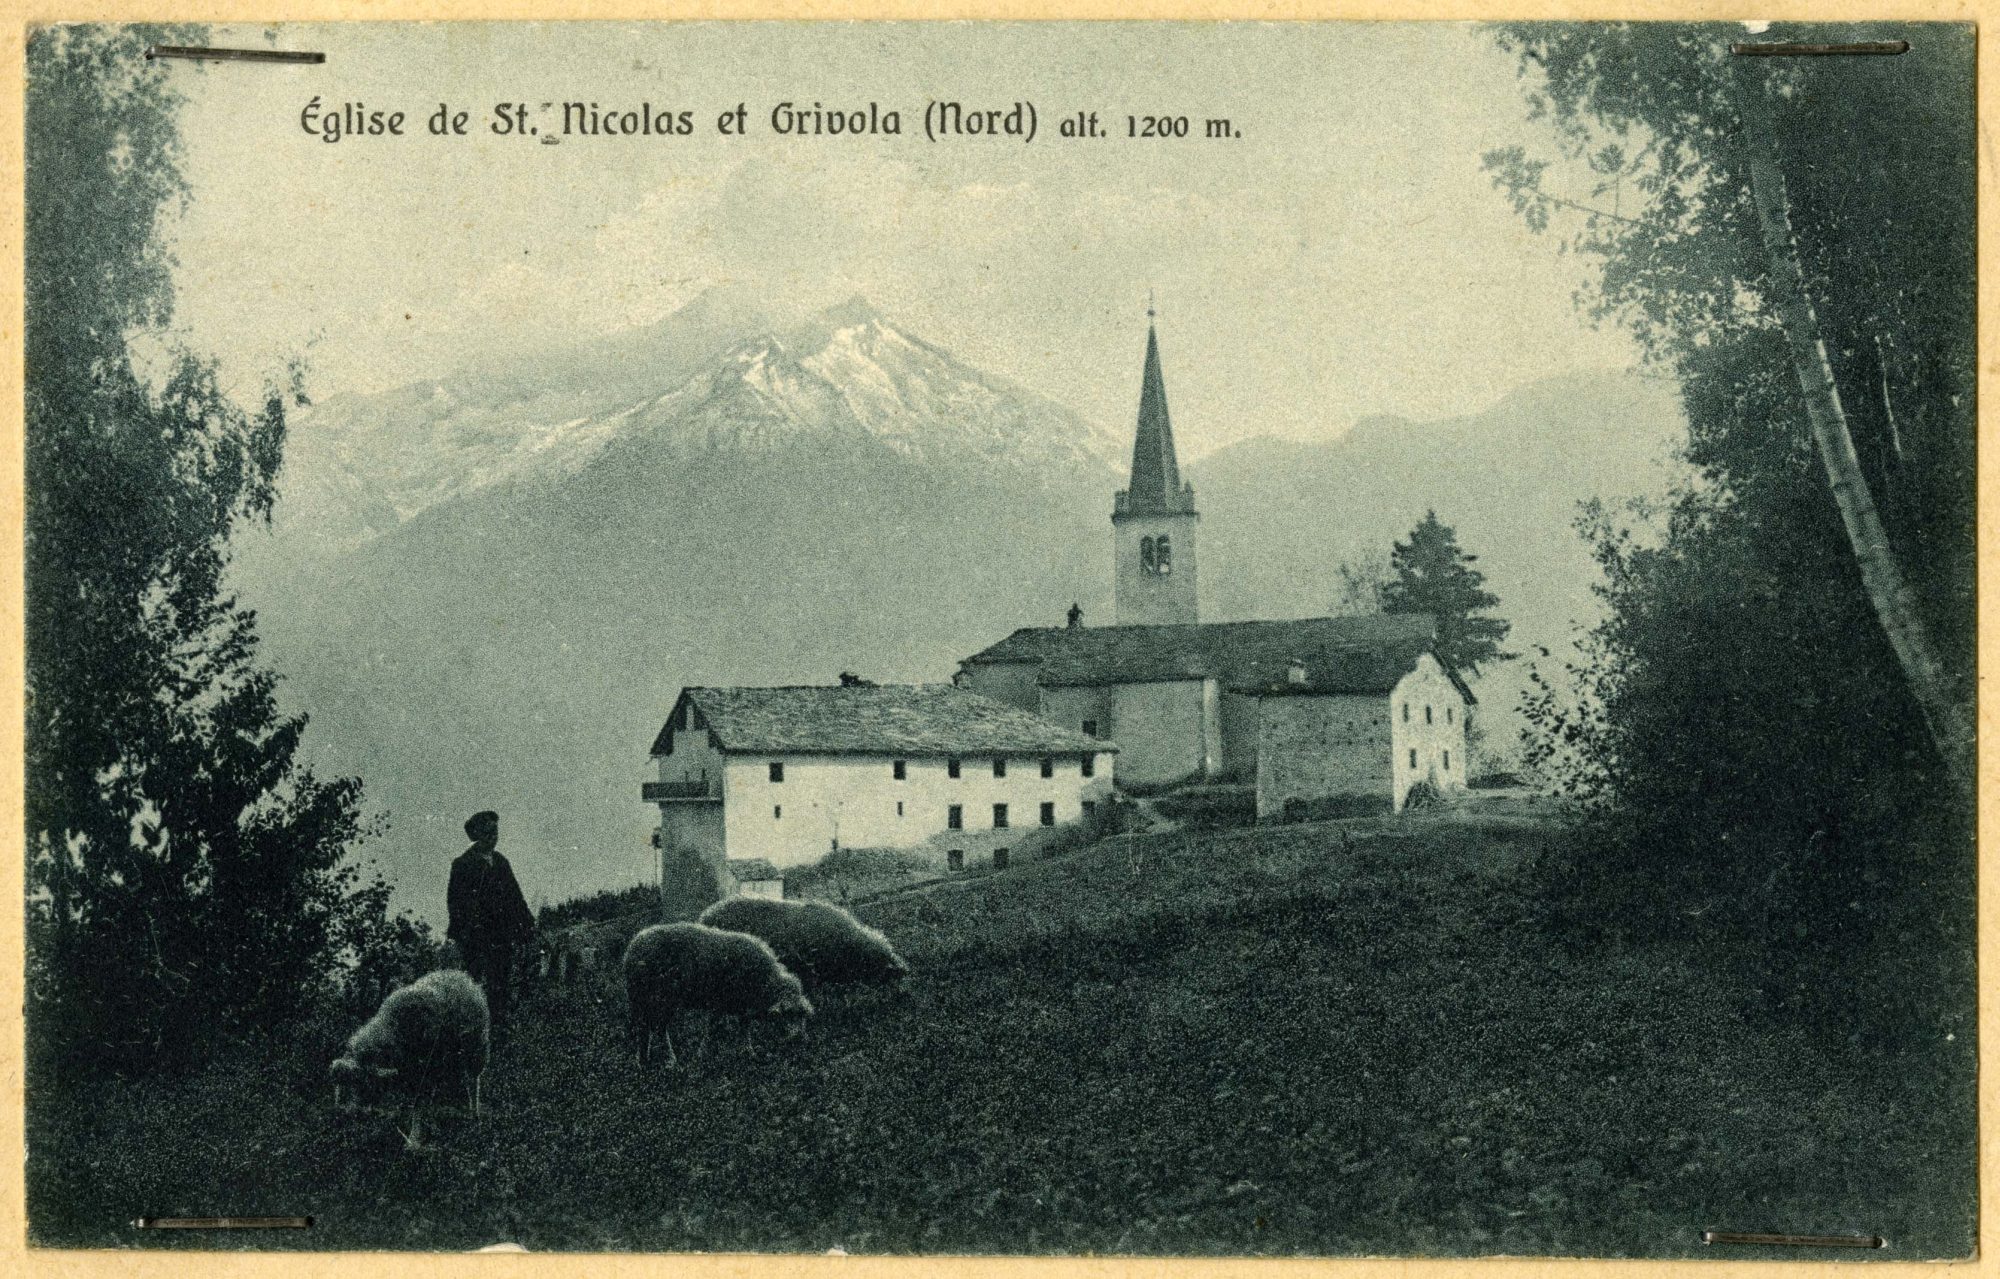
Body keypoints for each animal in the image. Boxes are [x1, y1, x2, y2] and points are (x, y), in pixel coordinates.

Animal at [332, 967, 492, 1151]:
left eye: (366, 1085)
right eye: (348, 1086)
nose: (352, 1114)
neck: (393, 1030)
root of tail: (459, 974)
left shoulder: (424, 1072)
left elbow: (418, 1105)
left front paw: (413, 1141)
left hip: (476, 1051)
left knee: (472, 1082)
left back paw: (474, 1115)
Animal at [624, 919, 812, 1071]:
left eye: (802, 1016)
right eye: (789, 1015)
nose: (799, 1041)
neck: (764, 980)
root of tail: (634, 946)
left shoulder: (742, 1006)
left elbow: (744, 1029)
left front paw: (749, 1053)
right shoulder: (718, 1003)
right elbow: (712, 1030)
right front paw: (701, 1056)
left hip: (646, 1000)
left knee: (646, 1028)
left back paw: (644, 1061)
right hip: (659, 998)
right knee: (657, 1028)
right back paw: (670, 1061)